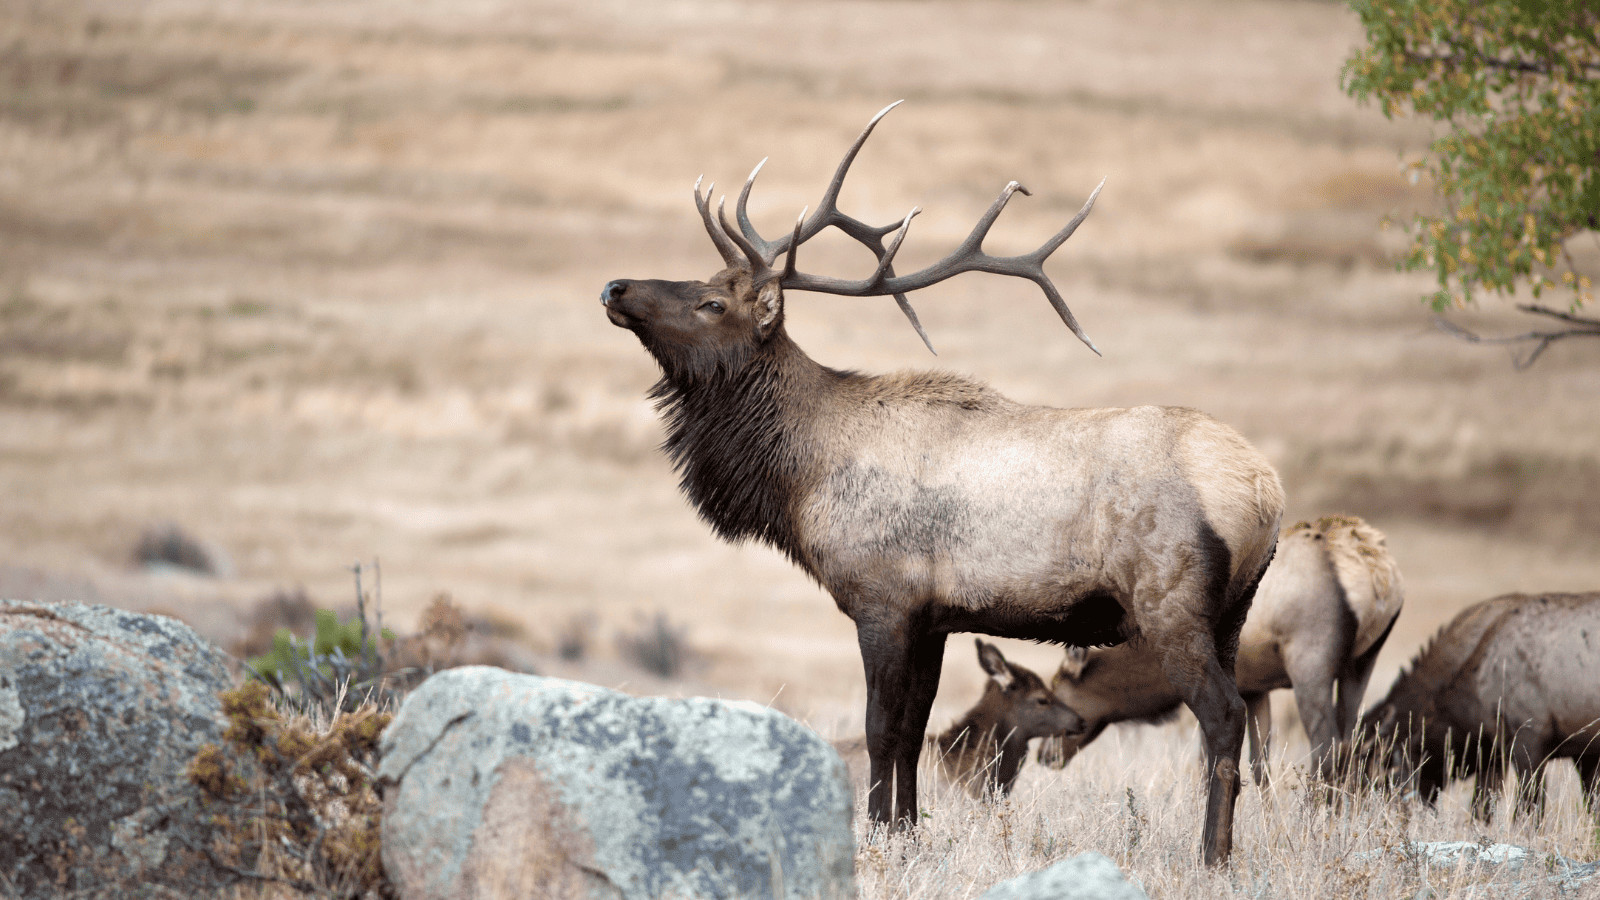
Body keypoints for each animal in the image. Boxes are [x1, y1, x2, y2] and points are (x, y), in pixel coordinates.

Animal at [1039, 515, 1403, 785]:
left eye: (1056, 688)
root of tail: (1377, 573)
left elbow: (1205, 764)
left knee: (1326, 750)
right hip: (1363, 662)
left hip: (1311, 662)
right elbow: (1260, 767)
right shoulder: (1255, 689)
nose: (1044, 754)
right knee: (1351, 744)